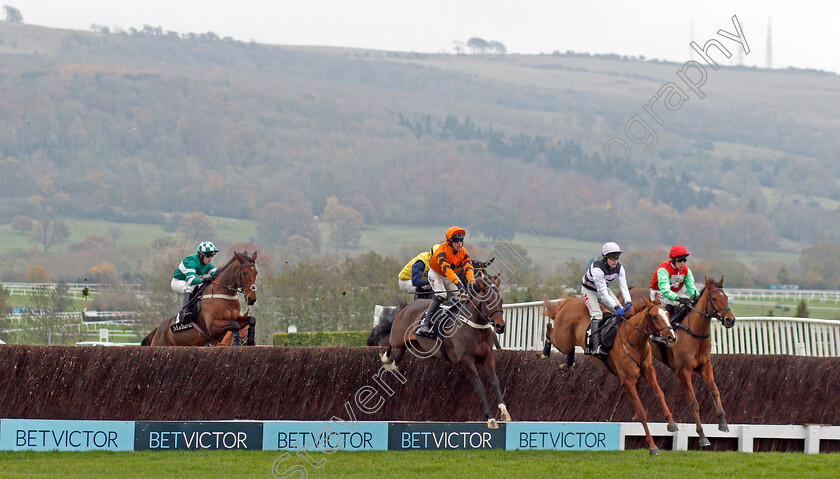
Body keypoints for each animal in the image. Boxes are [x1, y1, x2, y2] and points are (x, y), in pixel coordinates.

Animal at [378, 276, 512, 430]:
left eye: (501, 301)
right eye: (488, 302)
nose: (500, 326)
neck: (475, 327)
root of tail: (409, 306)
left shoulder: (488, 357)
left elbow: (495, 382)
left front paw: (504, 412)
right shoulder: (466, 361)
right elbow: (480, 388)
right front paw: (490, 418)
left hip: (418, 346)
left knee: (403, 348)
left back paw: (394, 365)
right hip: (398, 336)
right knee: (391, 341)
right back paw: (386, 358)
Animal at [544, 294, 676, 456]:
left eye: (667, 314)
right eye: (655, 317)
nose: (672, 337)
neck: (634, 339)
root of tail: (570, 300)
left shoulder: (649, 370)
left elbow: (659, 393)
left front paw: (671, 424)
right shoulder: (627, 380)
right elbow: (641, 412)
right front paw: (652, 446)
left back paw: (567, 364)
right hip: (563, 340)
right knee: (549, 329)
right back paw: (544, 352)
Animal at [632, 276, 736, 448]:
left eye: (726, 297)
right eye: (714, 298)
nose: (730, 320)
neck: (694, 333)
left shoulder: (705, 366)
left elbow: (715, 391)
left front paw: (723, 423)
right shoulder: (684, 371)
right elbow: (693, 402)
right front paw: (702, 436)